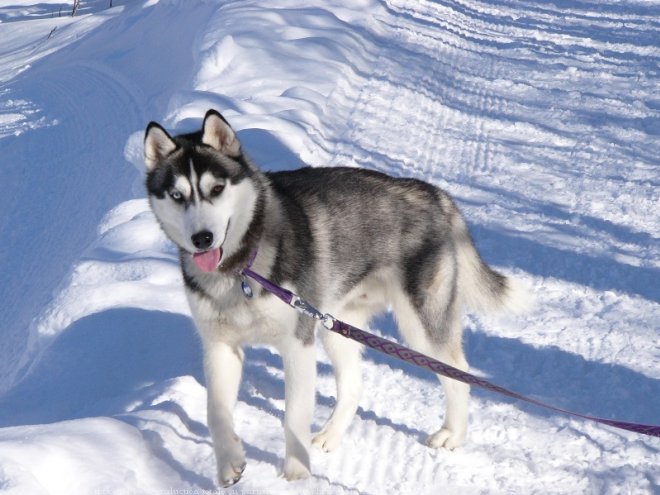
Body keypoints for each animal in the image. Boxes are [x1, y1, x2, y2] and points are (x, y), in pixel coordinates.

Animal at [146, 110, 524, 486]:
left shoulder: (297, 344)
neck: (242, 270)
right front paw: (228, 465)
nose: (202, 239)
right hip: (336, 327)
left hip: (420, 327)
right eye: (177, 196)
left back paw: (452, 434)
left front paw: (297, 475)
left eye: (217, 188)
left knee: (458, 371)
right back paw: (330, 435)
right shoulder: (220, 346)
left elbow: (294, 418)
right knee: (354, 385)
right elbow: (216, 413)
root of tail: (434, 193)